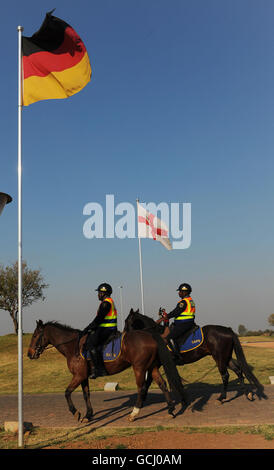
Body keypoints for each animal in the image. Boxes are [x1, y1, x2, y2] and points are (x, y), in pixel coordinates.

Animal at [27, 320, 186, 422]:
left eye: (35, 335)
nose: (29, 354)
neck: (73, 347)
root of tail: (150, 335)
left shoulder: (78, 376)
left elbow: (67, 393)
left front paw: (76, 412)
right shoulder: (83, 377)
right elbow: (86, 395)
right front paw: (88, 415)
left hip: (139, 368)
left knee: (141, 388)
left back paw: (134, 414)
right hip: (151, 367)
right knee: (162, 384)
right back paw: (171, 409)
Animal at [124, 308, 266, 404]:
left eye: (126, 321)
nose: (124, 334)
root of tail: (228, 330)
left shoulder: (159, 364)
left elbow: (158, 382)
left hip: (219, 357)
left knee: (225, 375)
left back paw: (222, 397)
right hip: (226, 357)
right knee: (238, 370)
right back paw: (248, 394)